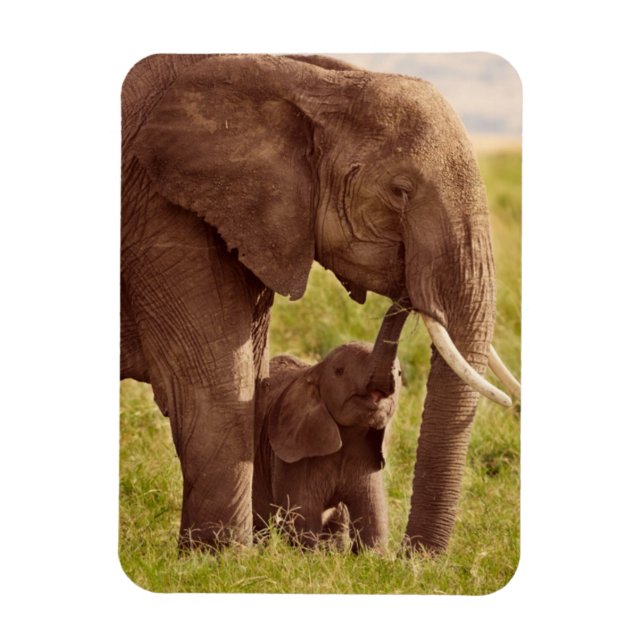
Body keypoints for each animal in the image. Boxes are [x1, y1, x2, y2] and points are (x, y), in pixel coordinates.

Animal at [252, 303, 408, 551]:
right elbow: (303, 517)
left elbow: (373, 518)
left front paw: (373, 556)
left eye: (400, 374)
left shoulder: (368, 455)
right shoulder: (294, 459)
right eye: (339, 371)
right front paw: (309, 554)